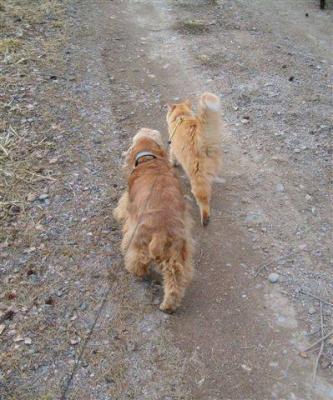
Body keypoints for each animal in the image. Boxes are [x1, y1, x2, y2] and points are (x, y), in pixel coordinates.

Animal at [113, 128, 193, 312]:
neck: (148, 159)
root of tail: (161, 232)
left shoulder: (129, 202)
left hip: (139, 241)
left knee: (137, 259)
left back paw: (136, 271)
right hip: (175, 255)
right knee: (174, 280)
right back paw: (169, 306)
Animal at [165, 92, 222, 227]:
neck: (182, 116)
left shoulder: (173, 147)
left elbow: (172, 156)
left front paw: (173, 163)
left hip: (196, 176)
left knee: (203, 199)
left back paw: (205, 218)